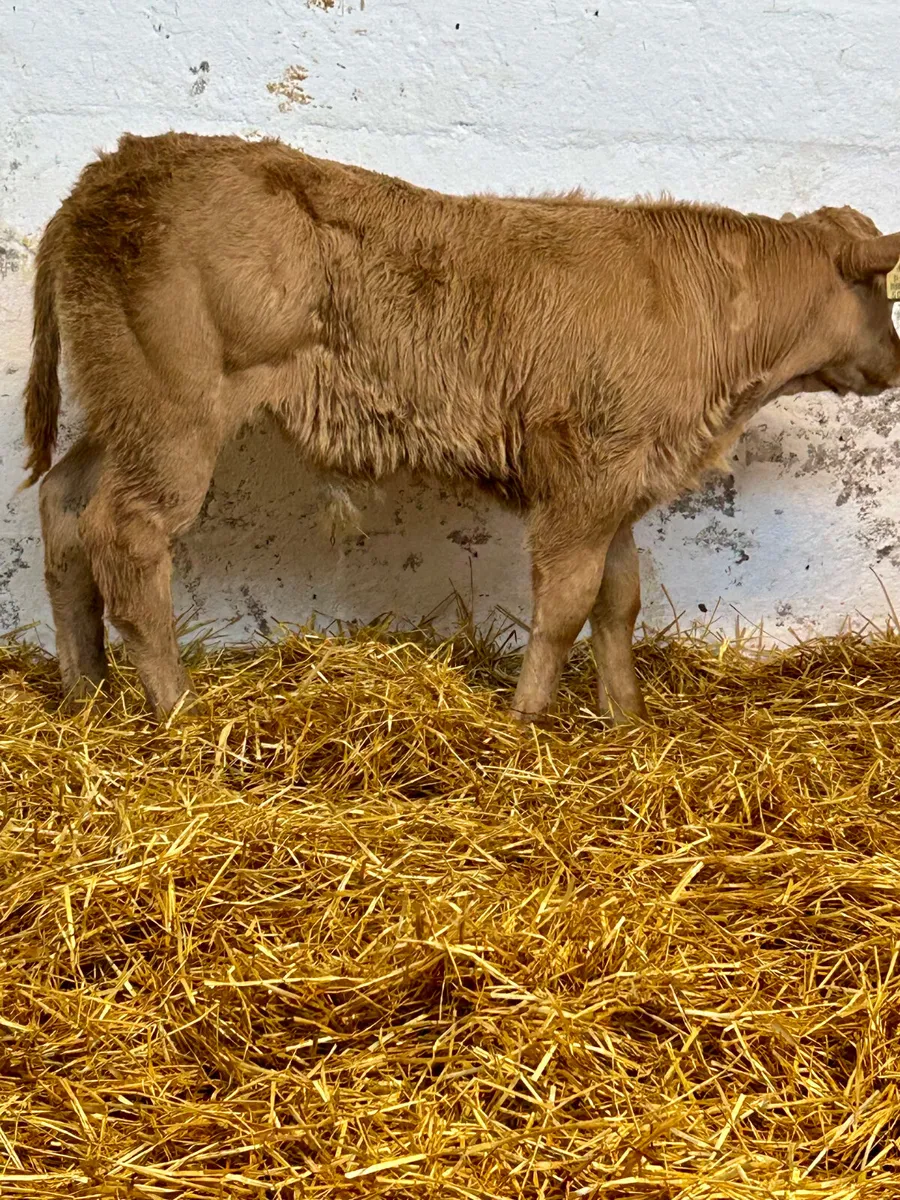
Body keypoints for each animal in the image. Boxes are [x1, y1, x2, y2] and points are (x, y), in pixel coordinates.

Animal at [21, 132, 900, 725]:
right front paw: (527, 720)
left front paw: (625, 720)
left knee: (64, 506)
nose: (895, 363)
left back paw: (83, 691)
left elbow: (618, 602)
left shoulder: (619, 480)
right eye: (881, 291)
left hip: (119, 410)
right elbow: (565, 605)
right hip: (171, 412)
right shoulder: (586, 479)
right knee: (126, 535)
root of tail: (108, 172)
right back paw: (175, 709)